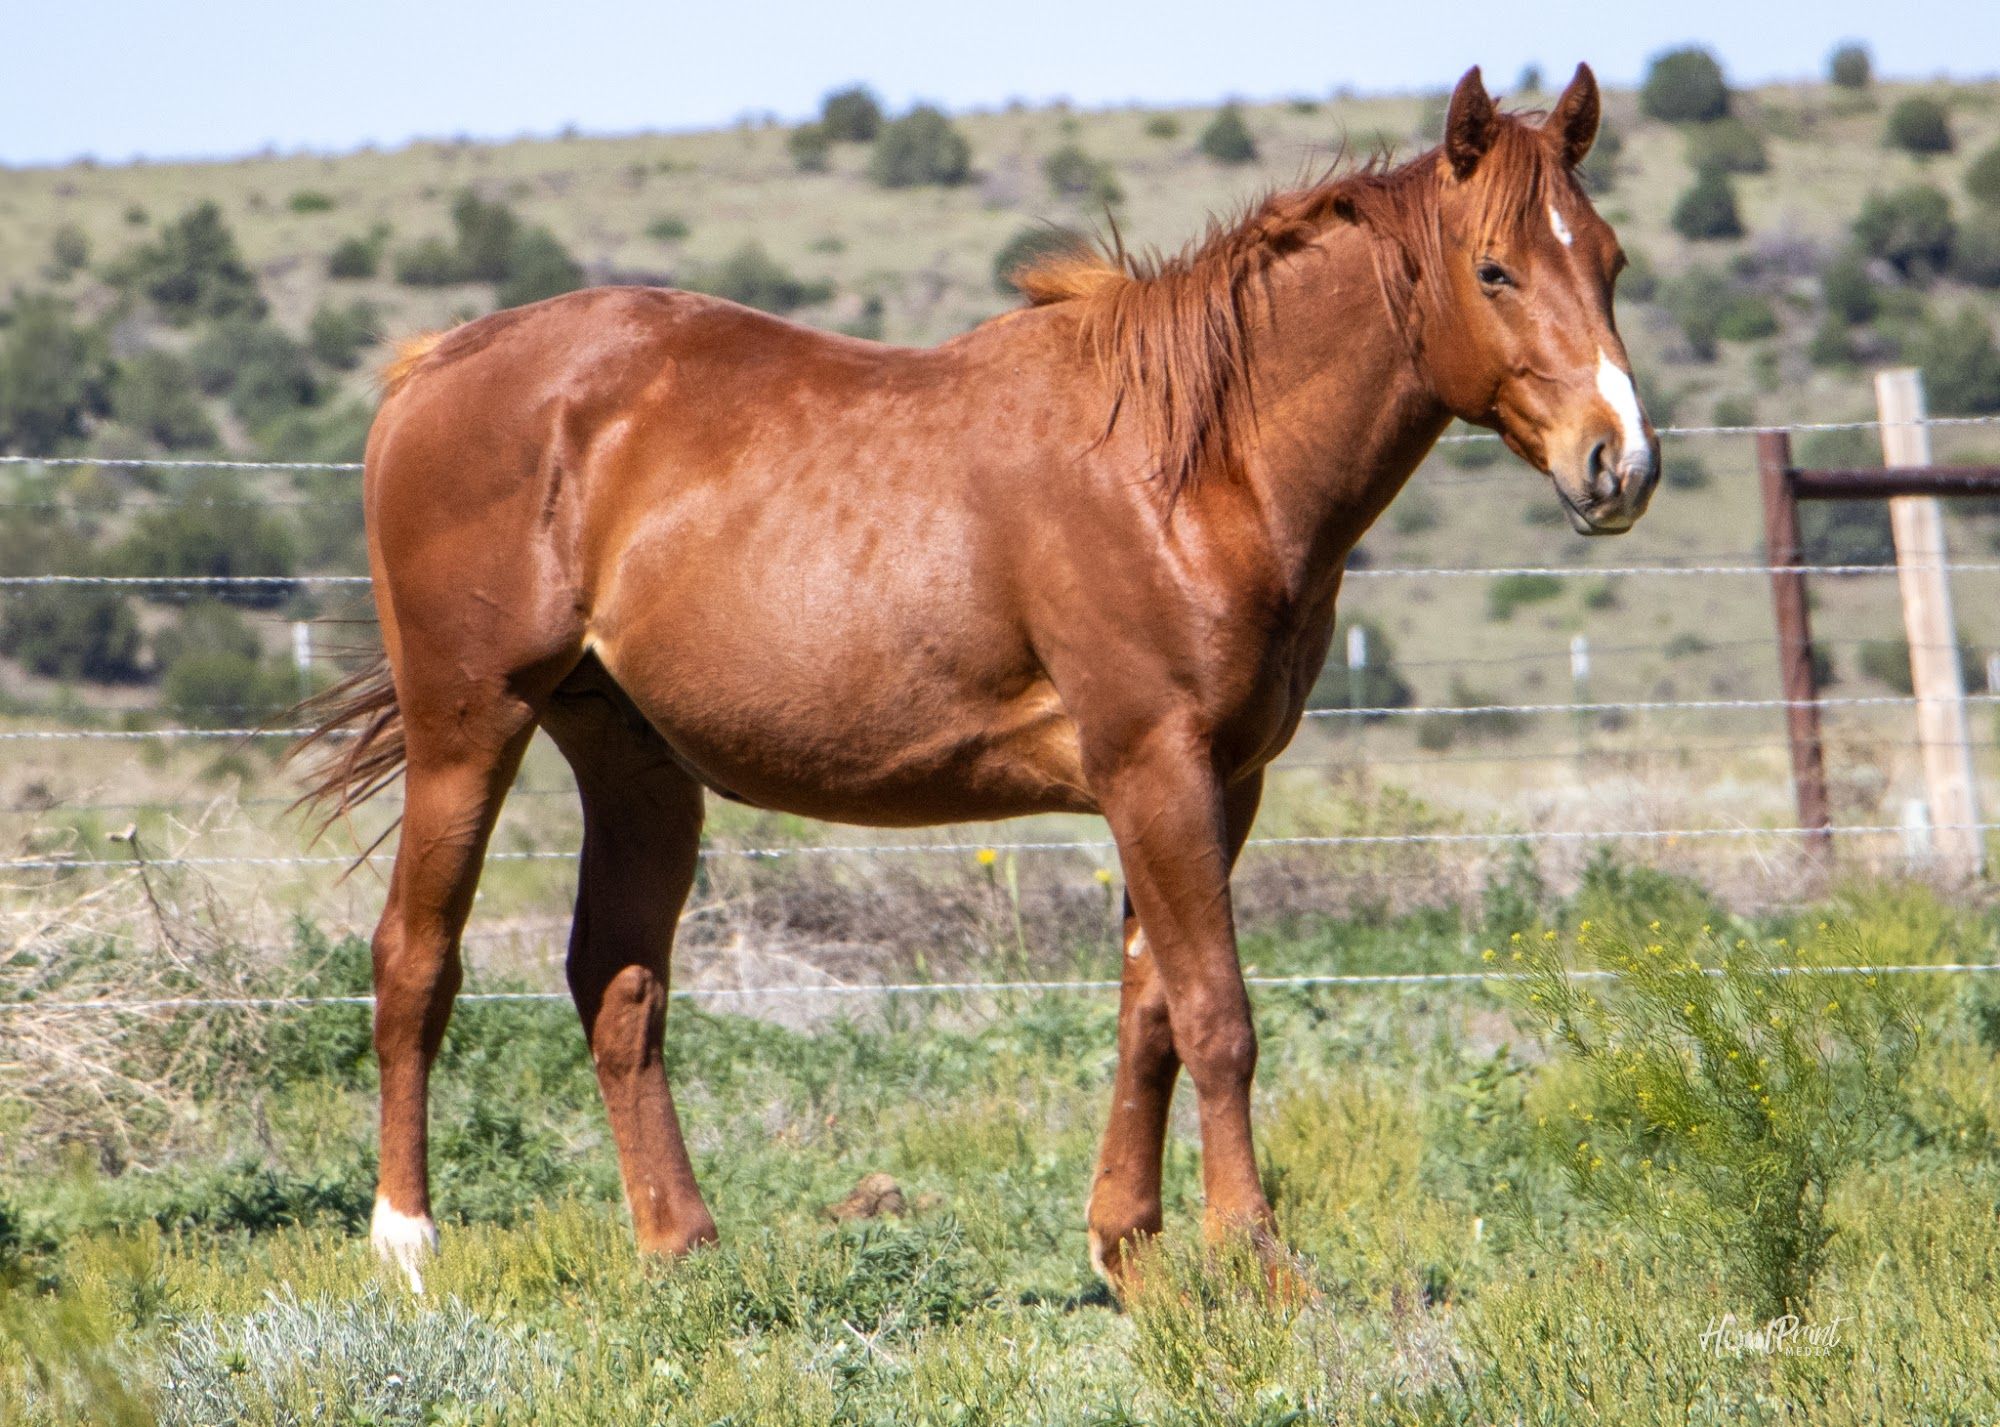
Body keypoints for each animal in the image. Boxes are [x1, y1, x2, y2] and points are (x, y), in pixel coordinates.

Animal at [295, 63, 1657, 1293]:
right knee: (414, 959)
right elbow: (1216, 1015)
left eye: (1608, 261)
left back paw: (682, 1247)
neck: (1190, 466)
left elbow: (1148, 1011)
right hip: (469, 725)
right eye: (1494, 269)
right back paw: (407, 1245)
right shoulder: (1153, 767)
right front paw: (1257, 1258)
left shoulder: (1220, 782)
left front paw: (1129, 1248)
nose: (1620, 463)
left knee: (617, 980)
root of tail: (433, 367)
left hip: (636, 763)